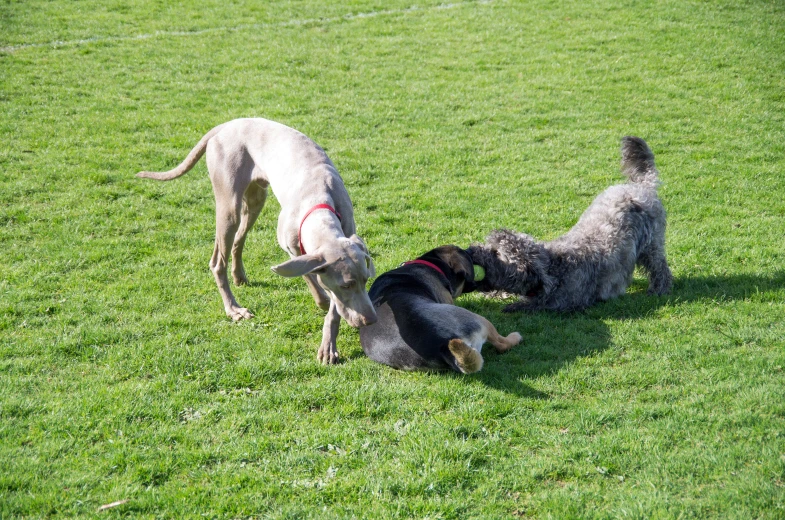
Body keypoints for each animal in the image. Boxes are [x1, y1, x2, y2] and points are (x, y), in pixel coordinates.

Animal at [138, 118, 376, 364]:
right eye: (346, 285)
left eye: (366, 280)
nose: (371, 320)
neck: (318, 201)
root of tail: (228, 124)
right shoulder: (293, 251)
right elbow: (313, 280)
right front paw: (324, 305)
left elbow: (331, 302)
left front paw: (329, 343)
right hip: (229, 204)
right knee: (218, 261)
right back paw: (234, 309)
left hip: (255, 199)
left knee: (234, 242)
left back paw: (239, 276)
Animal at [356, 247, 520, 374]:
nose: (471, 250)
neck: (430, 264)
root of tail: (443, 346)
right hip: (478, 319)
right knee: (501, 344)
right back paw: (515, 337)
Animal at [466, 136, 672, 310]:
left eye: (495, 252)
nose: (470, 250)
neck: (555, 265)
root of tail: (641, 186)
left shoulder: (564, 302)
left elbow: (535, 305)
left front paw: (514, 305)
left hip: (652, 247)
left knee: (660, 268)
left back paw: (660, 288)